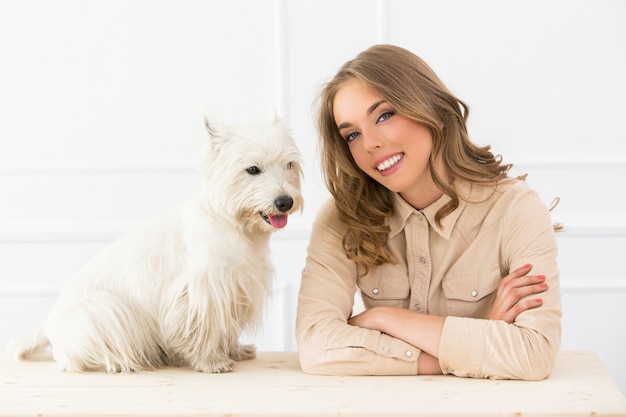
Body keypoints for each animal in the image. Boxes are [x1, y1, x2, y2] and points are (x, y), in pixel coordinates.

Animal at [7, 113, 302, 370]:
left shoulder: (235, 289)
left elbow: (225, 326)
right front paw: (211, 362)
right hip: (103, 311)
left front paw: (235, 350)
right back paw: (117, 362)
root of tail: (48, 326)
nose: (285, 202)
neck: (233, 225)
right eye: (252, 169)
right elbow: (203, 328)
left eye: (289, 164)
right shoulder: (203, 290)